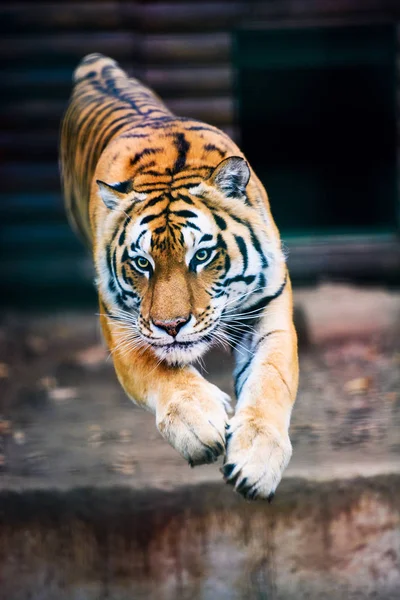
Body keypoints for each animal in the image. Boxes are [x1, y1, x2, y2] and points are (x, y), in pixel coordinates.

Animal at [59, 54, 296, 500]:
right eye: (142, 264)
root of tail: (97, 67)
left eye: (201, 255)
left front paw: (256, 463)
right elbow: (160, 368)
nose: (171, 326)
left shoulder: (270, 311)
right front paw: (198, 425)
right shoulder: (121, 324)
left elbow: (271, 380)